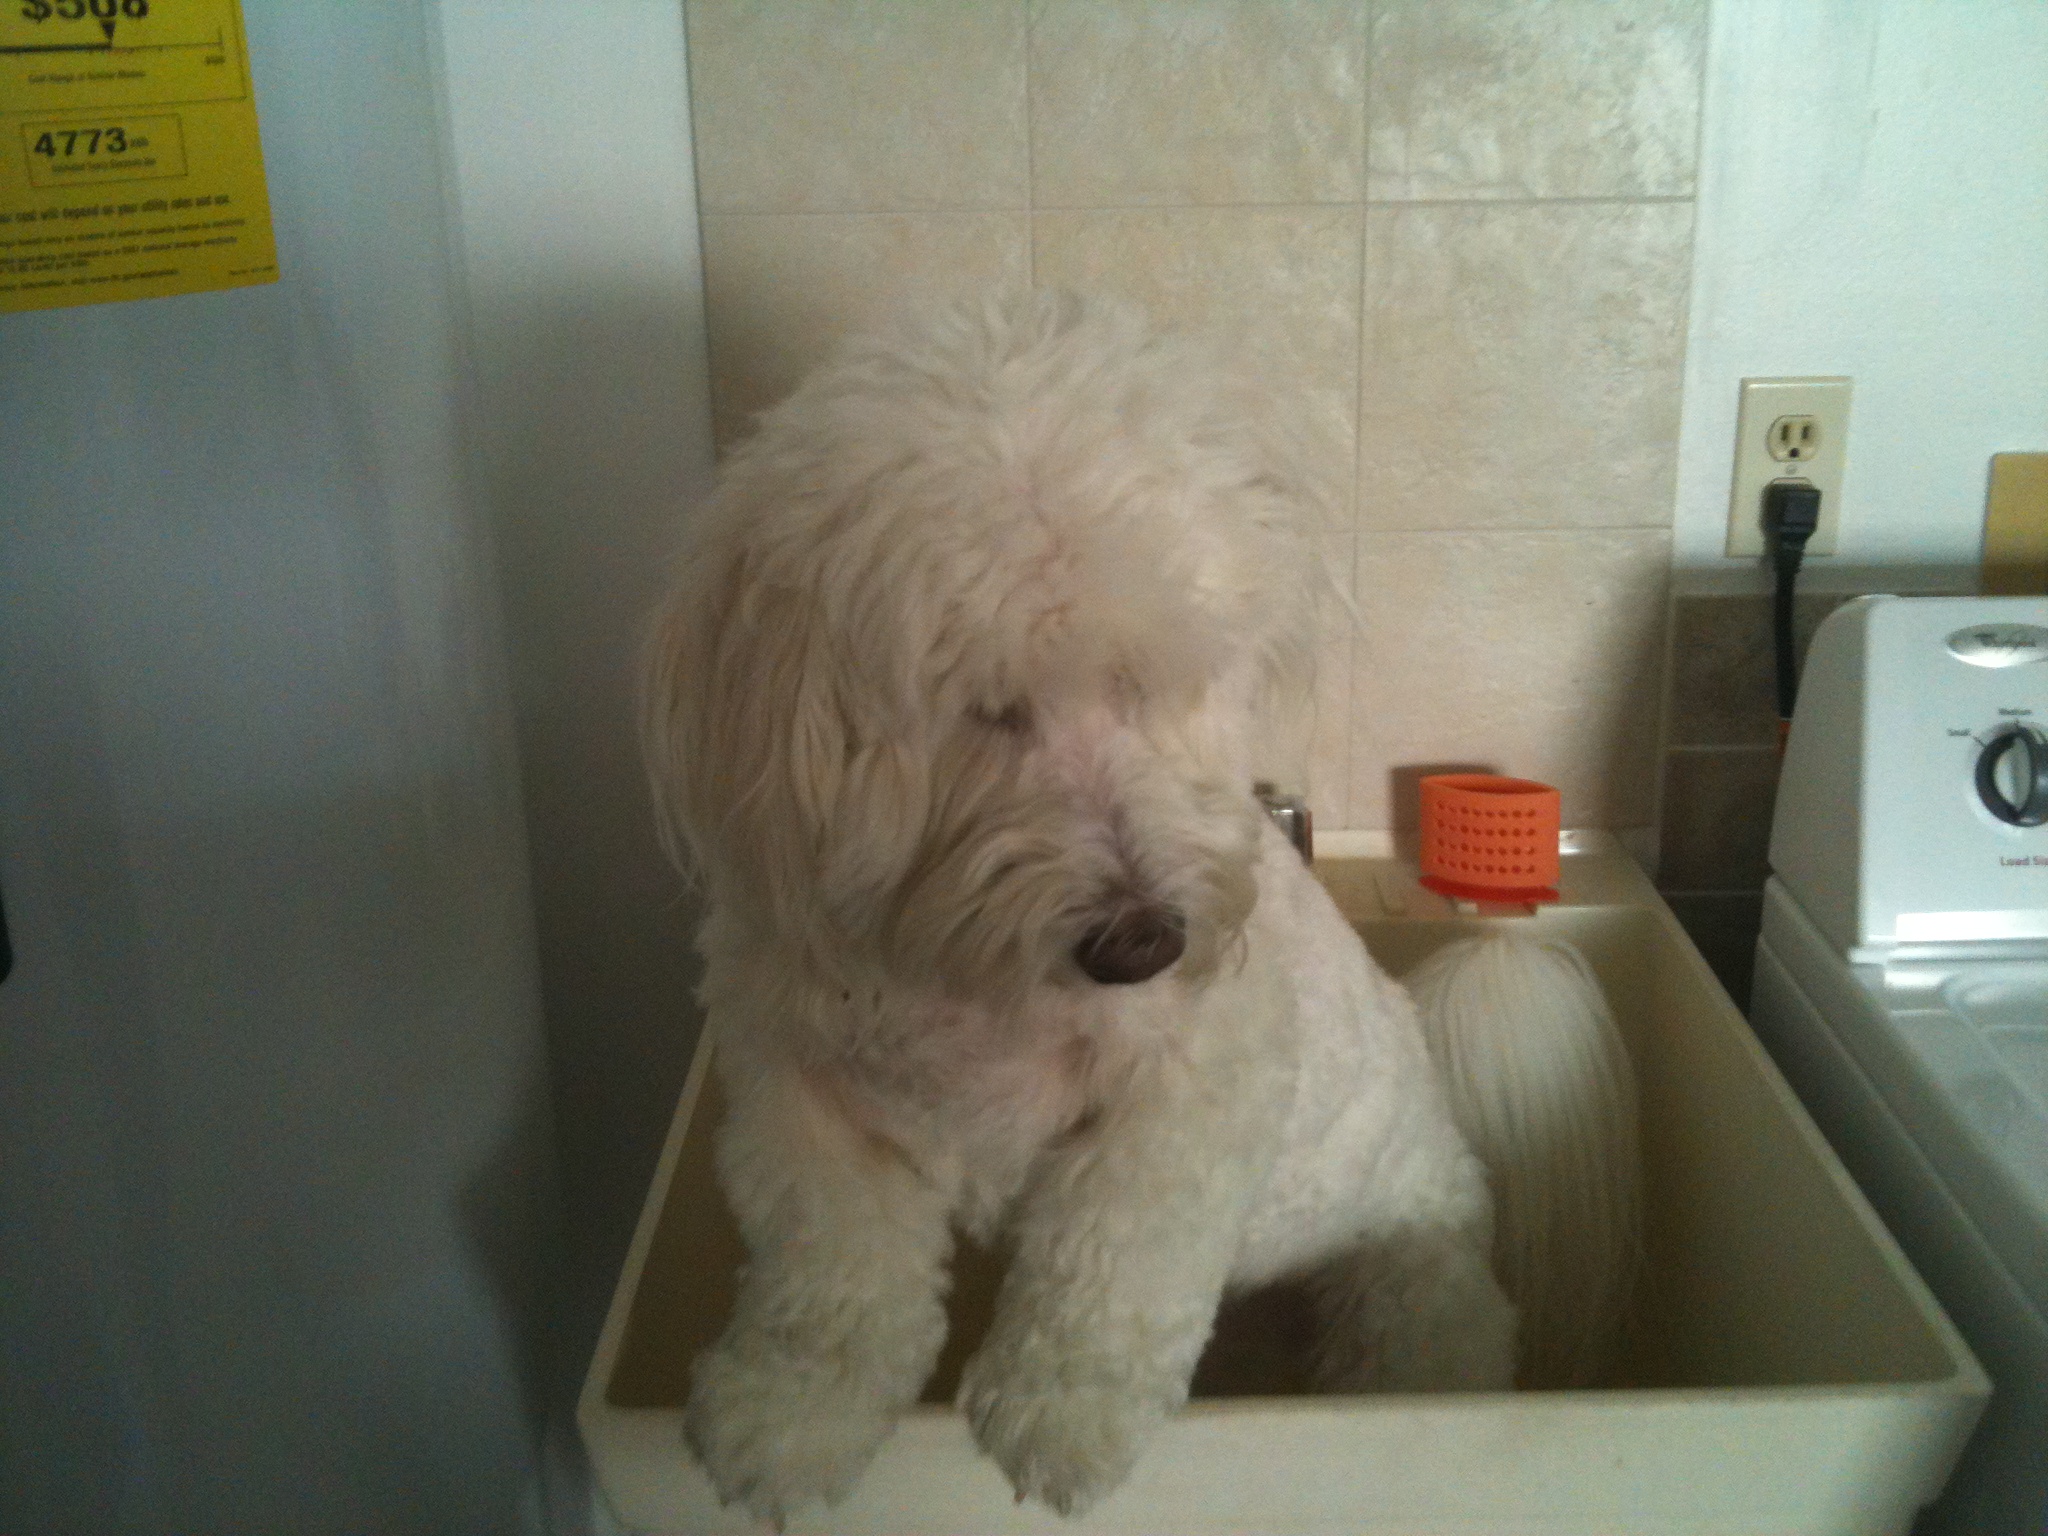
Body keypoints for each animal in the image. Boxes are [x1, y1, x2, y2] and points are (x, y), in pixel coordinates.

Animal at [647, 294, 1638, 1523]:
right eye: (989, 707)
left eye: (1156, 682)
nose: (1142, 945)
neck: (974, 979)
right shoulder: (800, 1092)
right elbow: (827, 1273)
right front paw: (783, 1420)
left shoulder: (1196, 1094)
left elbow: (1113, 1250)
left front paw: (1058, 1414)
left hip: (1413, 1289)